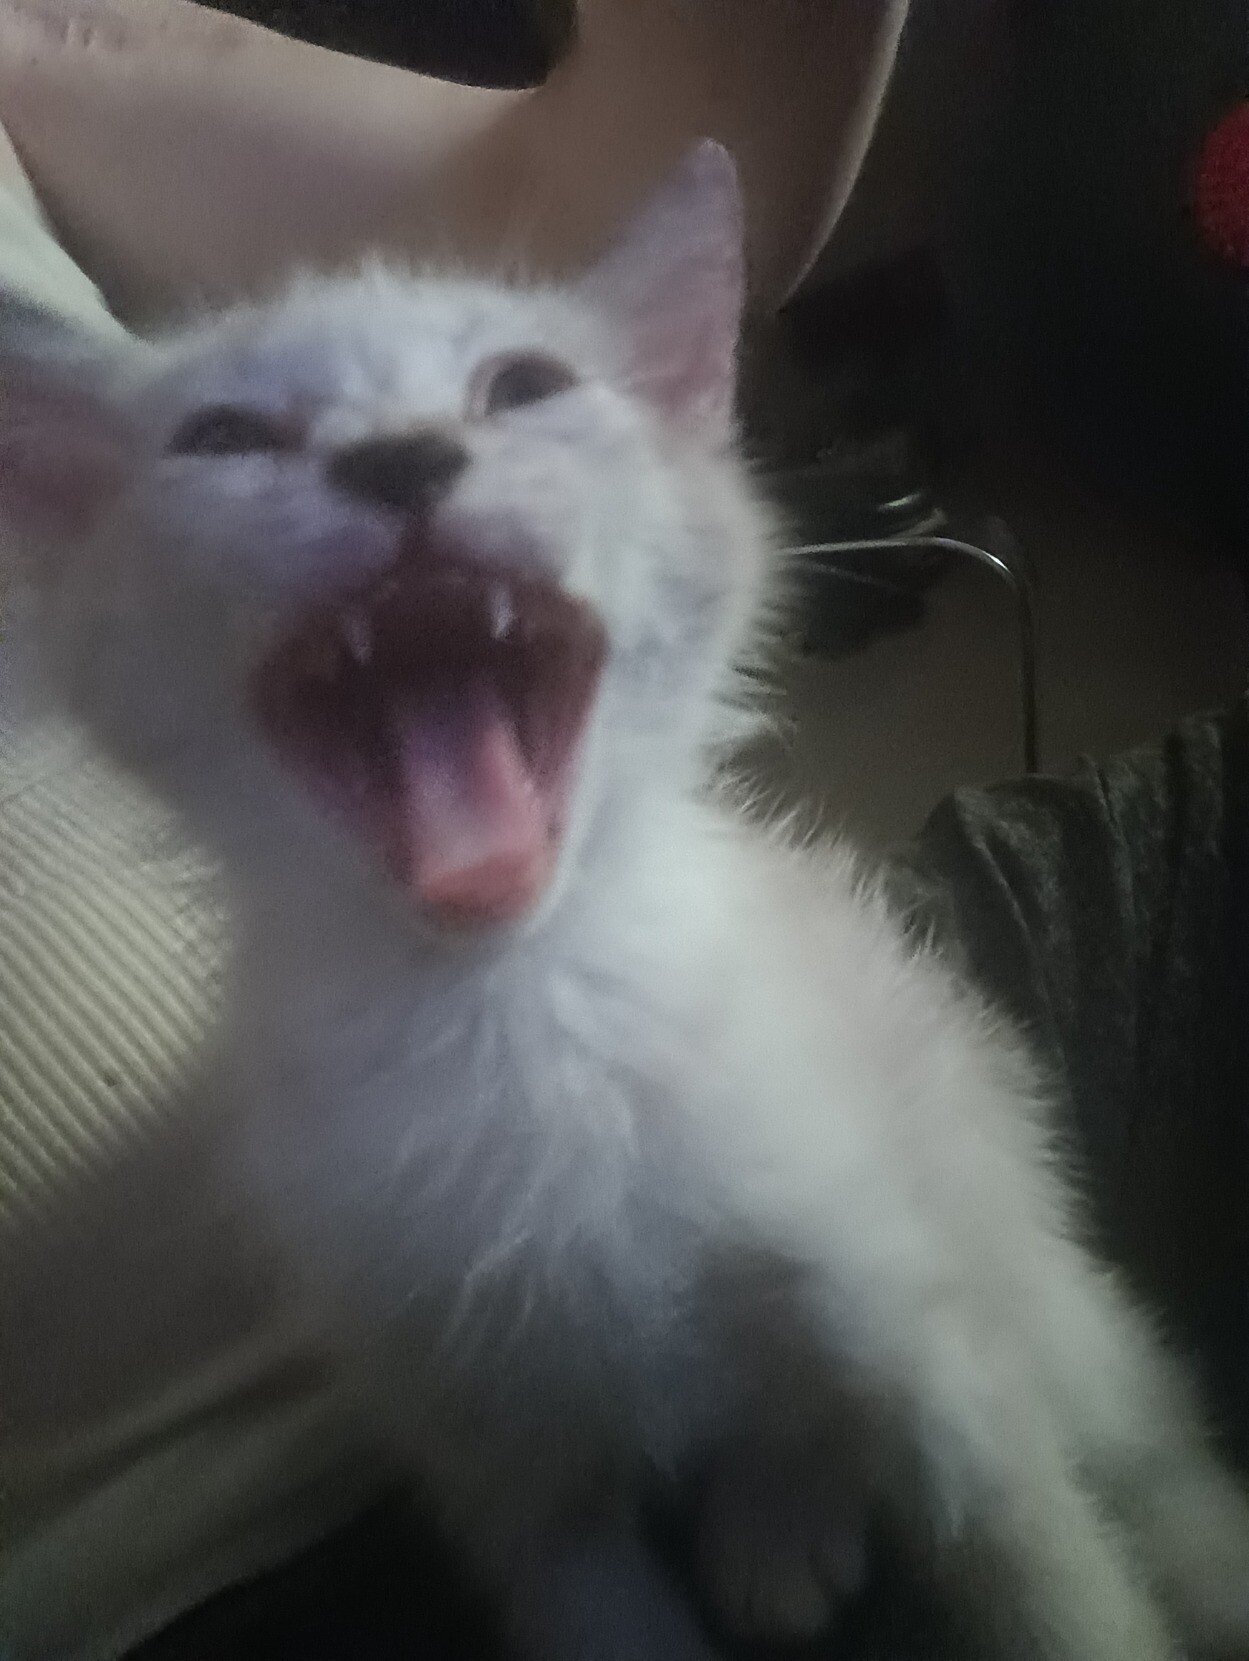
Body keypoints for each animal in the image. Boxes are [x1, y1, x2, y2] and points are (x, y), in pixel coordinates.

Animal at [3, 141, 1248, 1661]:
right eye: (222, 437)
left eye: (525, 386)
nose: (398, 459)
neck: (517, 1016)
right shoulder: (520, 1500)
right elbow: (599, 1594)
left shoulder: (923, 1349)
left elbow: (1055, 1590)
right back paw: (782, 1523)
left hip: (1019, 1250)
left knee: (1141, 1440)